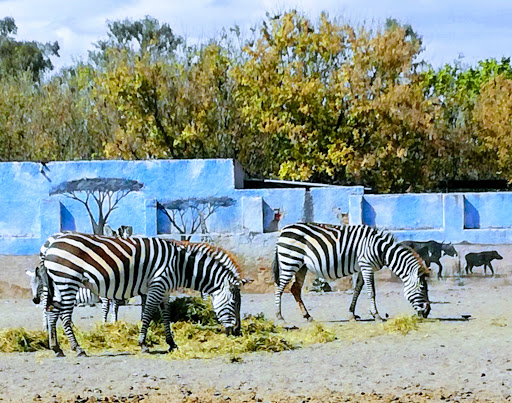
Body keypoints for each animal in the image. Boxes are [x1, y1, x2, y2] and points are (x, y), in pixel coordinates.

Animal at [31, 232, 244, 358]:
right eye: (233, 303)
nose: (236, 332)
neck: (181, 265)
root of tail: (50, 244)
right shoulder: (157, 284)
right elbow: (148, 313)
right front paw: (143, 344)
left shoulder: (164, 289)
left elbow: (165, 315)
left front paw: (171, 344)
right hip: (68, 280)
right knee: (64, 316)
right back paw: (78, 348)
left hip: (57, 283)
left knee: (52, 312)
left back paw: (57, 348)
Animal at [272, 223, 432, 324]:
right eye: (422, 288)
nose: (427, 312)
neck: (381, 249)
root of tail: (282, 231)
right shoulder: (367, 265)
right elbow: (371, 292)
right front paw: (377, 316)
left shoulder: (363, 267)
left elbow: (357, 290)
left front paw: (352, 314)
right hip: (289, 261)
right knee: (279, 289)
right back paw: (279, 317)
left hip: (301, 266)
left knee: (295, 289)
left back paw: (307, 316)